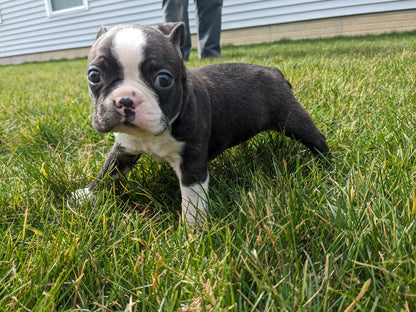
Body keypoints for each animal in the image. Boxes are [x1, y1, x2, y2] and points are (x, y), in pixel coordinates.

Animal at [79, 23, 330, 225]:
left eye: (163, 79)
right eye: (94, 76)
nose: (124, 100)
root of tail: (274, 71)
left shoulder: (192, 162)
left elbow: (192, 201)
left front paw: (192, 234)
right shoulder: (124, 147)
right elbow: (108, 168)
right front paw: (87, 194)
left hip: (291, 117)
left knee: (316, 138)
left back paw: (325, 164)